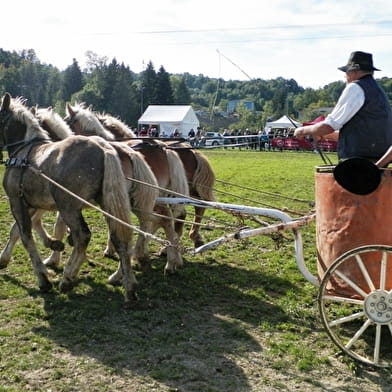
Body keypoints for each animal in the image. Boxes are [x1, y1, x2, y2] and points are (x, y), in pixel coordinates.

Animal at [0, 93, 137, 304]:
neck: (23, 151)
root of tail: (104, 148)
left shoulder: (17, 200)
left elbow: (25, 235)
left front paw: (43, 277)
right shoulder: (30, 202)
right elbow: (17, 230)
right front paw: (5, 259)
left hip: (68, 206)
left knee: (83, 235)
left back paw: (68, 277)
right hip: (108, 203)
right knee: (119, 237)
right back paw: (128, 285)